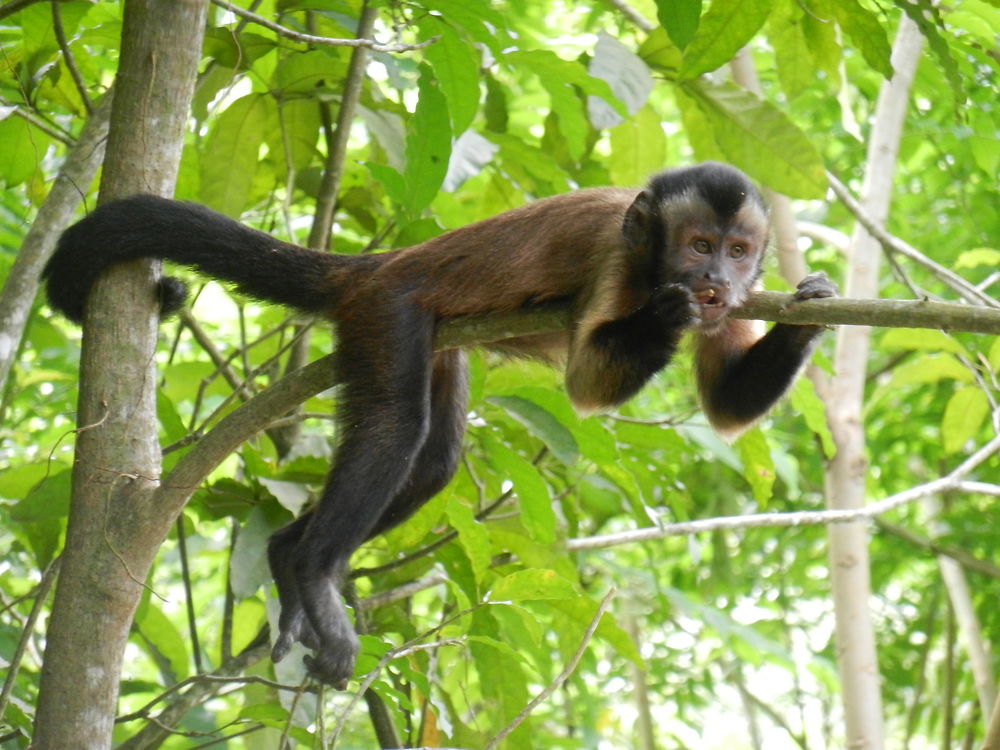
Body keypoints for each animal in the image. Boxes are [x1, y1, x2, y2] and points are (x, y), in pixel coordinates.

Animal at [45, 163, 836, 688]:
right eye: (700, 245)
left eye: (738, 252)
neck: (653, 259)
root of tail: (377, 264)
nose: (717, 282)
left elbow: (726, 407)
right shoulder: (618, 258)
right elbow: (586, 386)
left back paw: (285, 554)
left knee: (432, 464)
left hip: (430, 339)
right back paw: (313, 568)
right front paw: (668, 313)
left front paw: (815, 310)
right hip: (386, 309)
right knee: (398, 427)